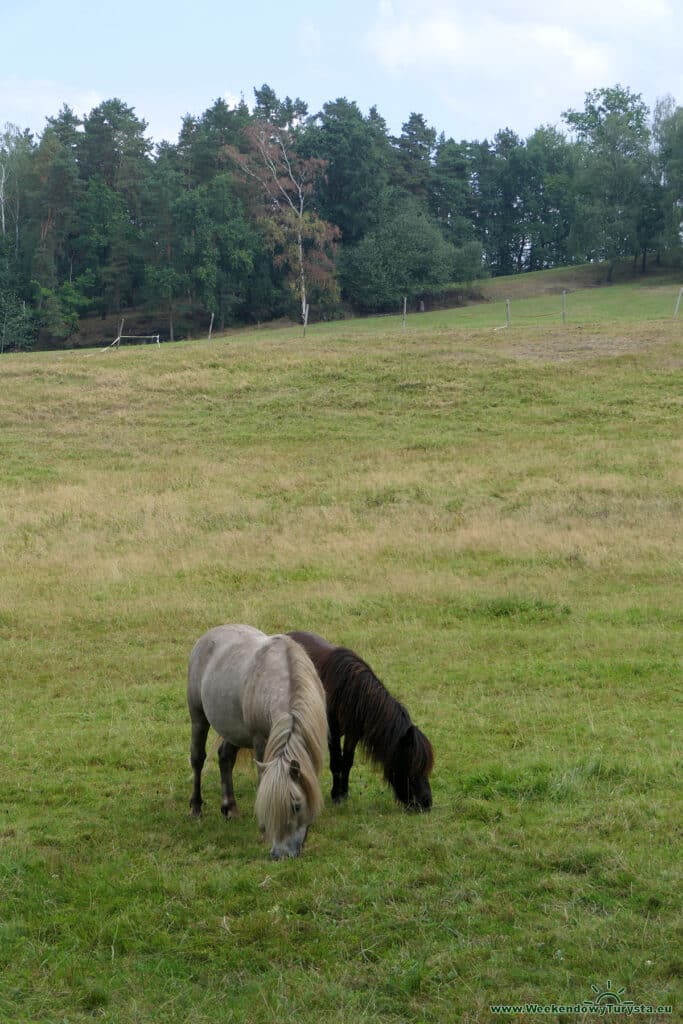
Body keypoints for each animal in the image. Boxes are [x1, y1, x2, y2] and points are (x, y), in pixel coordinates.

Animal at [288, 626, 432, 811]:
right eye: (413, 766)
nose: (426, 802)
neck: (349, 692)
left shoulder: (353, 733)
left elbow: (347, 761)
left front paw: (344, 793)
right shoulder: (333, 733)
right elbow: (336, 762)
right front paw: (336, 795)